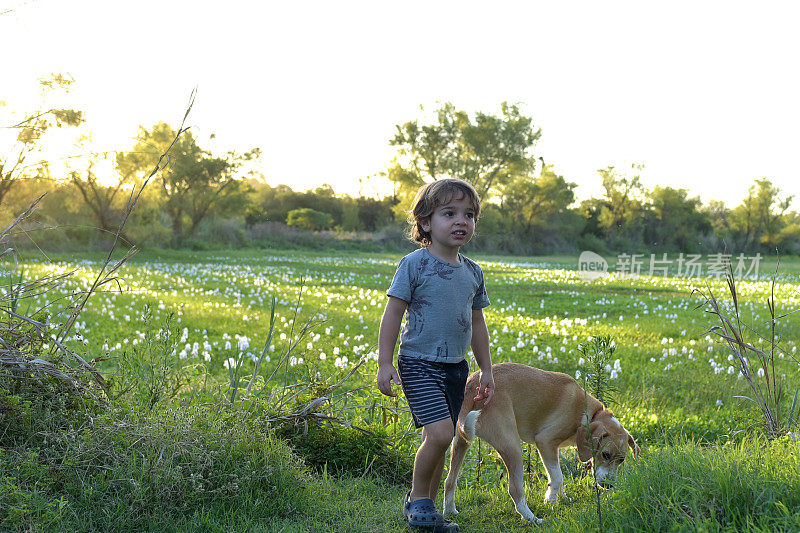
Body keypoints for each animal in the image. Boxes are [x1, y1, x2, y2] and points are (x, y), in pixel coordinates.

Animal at [440, 362, 640, 524]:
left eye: (621, 460)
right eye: (605, 454)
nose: (608, 486)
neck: (587, 413)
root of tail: (472, 386)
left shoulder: (553, 449)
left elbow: (557, 477)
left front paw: (561, 497)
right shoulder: (545, 441)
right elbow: (557, 477)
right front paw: (550, 501)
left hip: (460, 443)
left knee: (450, 481)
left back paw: (450, 511)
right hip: (513, 446)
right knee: (515, 490)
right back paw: (532, 519)